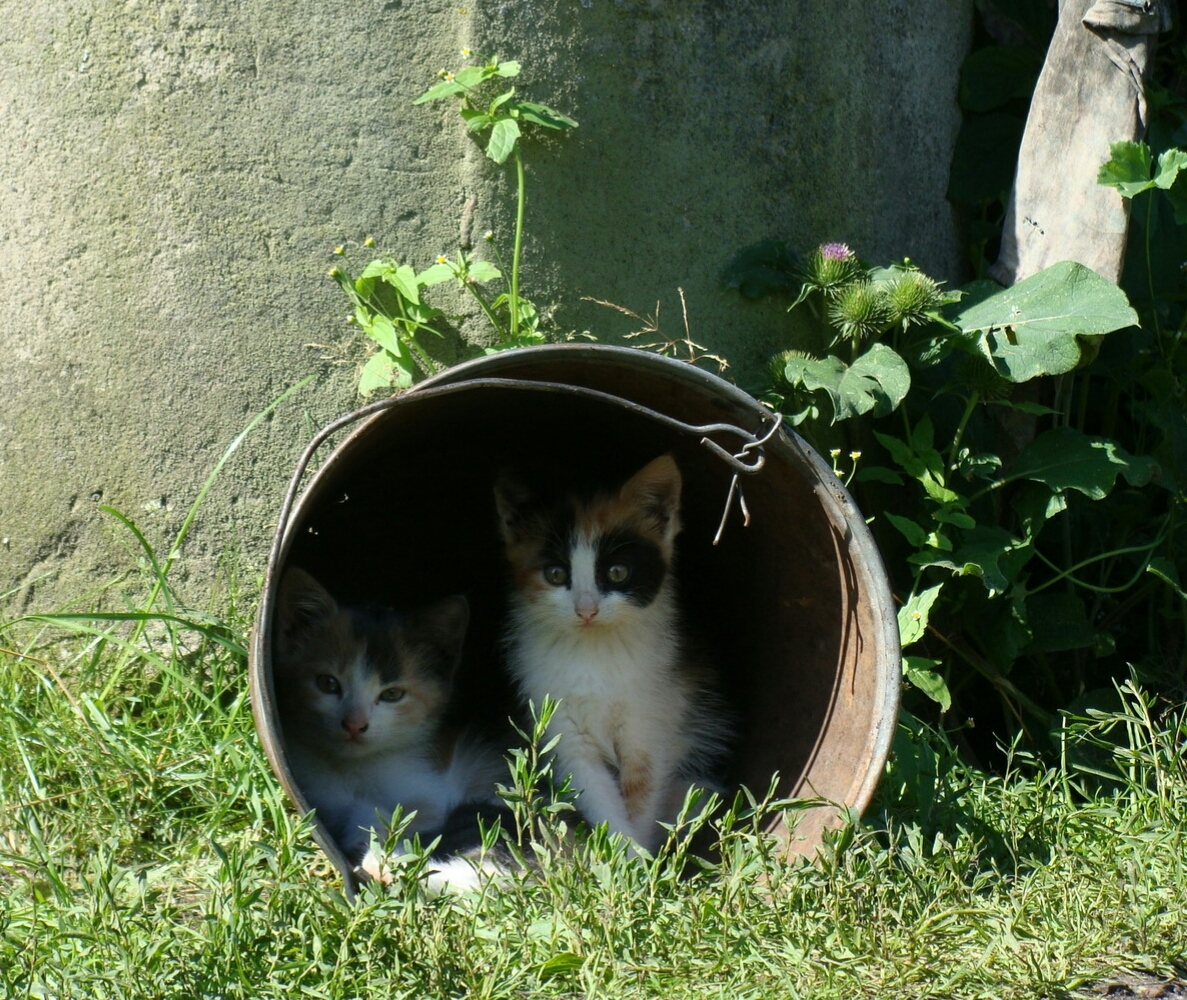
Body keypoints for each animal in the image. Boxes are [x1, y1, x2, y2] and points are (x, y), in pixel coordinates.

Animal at [273, 565, 510, 883]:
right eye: (327, 683)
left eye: (392, 695)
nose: (354, 724)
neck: (353, 768)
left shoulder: (435, 793)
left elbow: (402, 816)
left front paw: (379, 854)